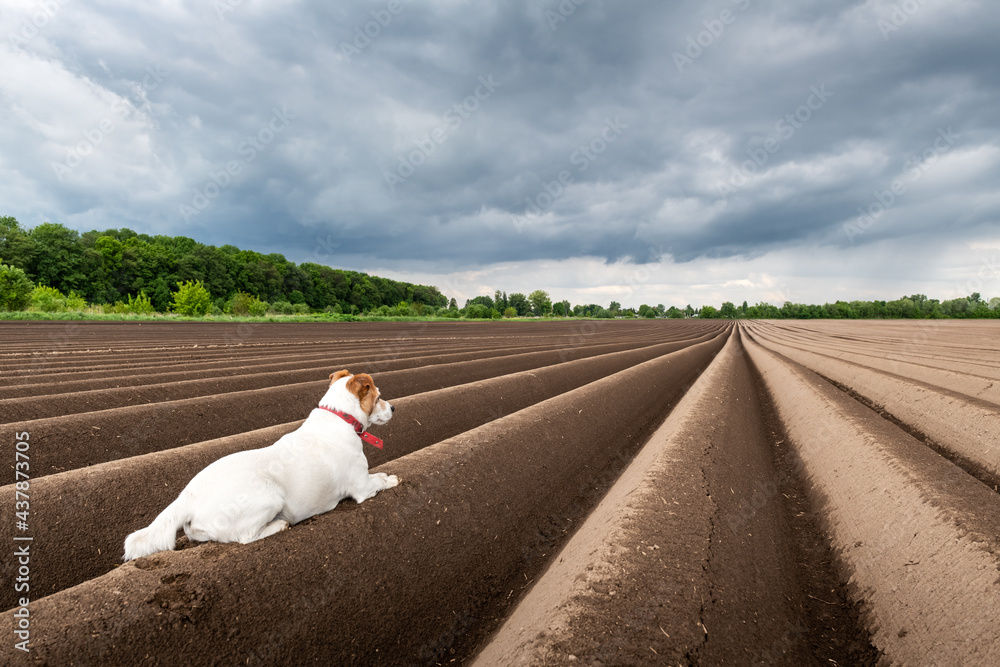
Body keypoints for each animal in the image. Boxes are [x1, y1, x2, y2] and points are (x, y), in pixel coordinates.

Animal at [121, 370, 394, 564]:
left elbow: (377, 473)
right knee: (245, 537)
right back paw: (279, 524)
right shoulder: (361, 487)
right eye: (379, 396)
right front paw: (392, 479)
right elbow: (380, 480)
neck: (339, 417)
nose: (393, 407)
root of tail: (186, 497)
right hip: (269, 496)